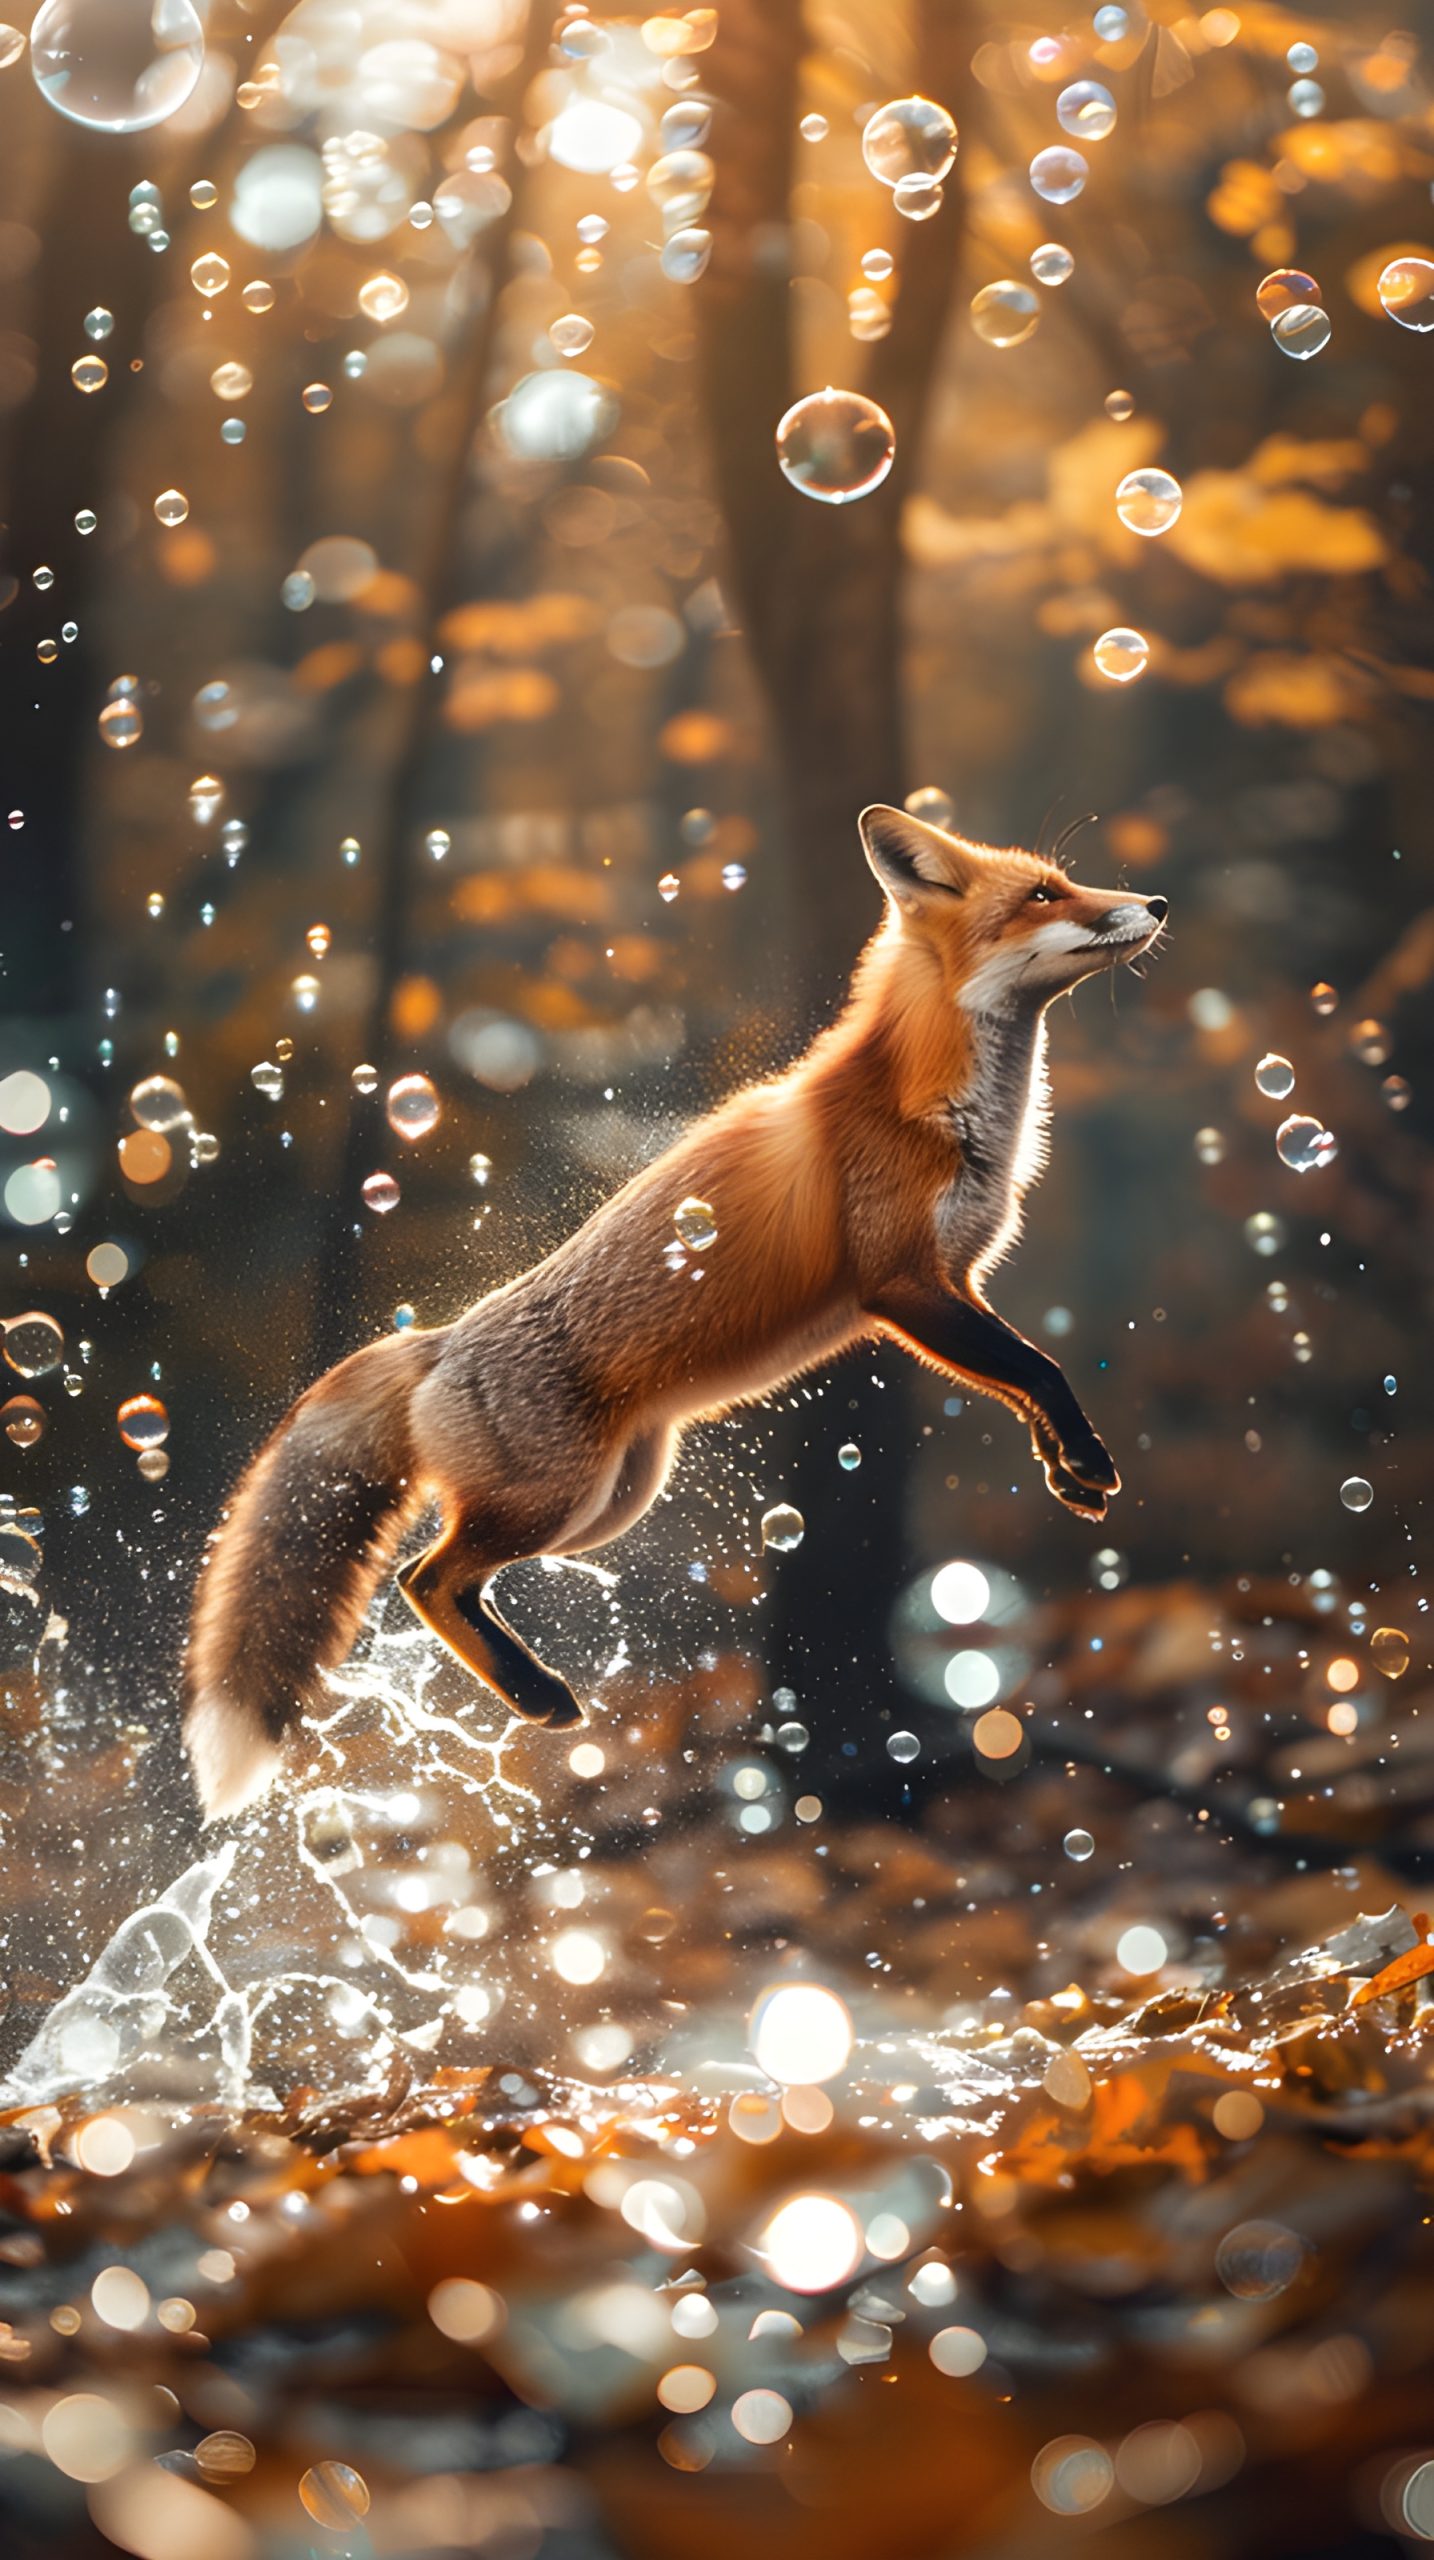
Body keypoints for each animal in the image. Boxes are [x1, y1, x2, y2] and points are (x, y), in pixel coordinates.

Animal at [183, 804, 1167, 1820]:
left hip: (612, 1501)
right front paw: (1087, 1460)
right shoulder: (901, 1286)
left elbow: (1022, 1378)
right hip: (555, 1499)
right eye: (1045, 895)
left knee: (452, 1579)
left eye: (1067, 881)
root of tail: (438, 1341)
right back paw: (538, 1694)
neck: (939, 1104)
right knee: (426, 1578)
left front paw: (1066, 1471)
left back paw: (530, 1691)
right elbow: (1038, 1366)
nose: (1158, 902)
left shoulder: (954, 1287)